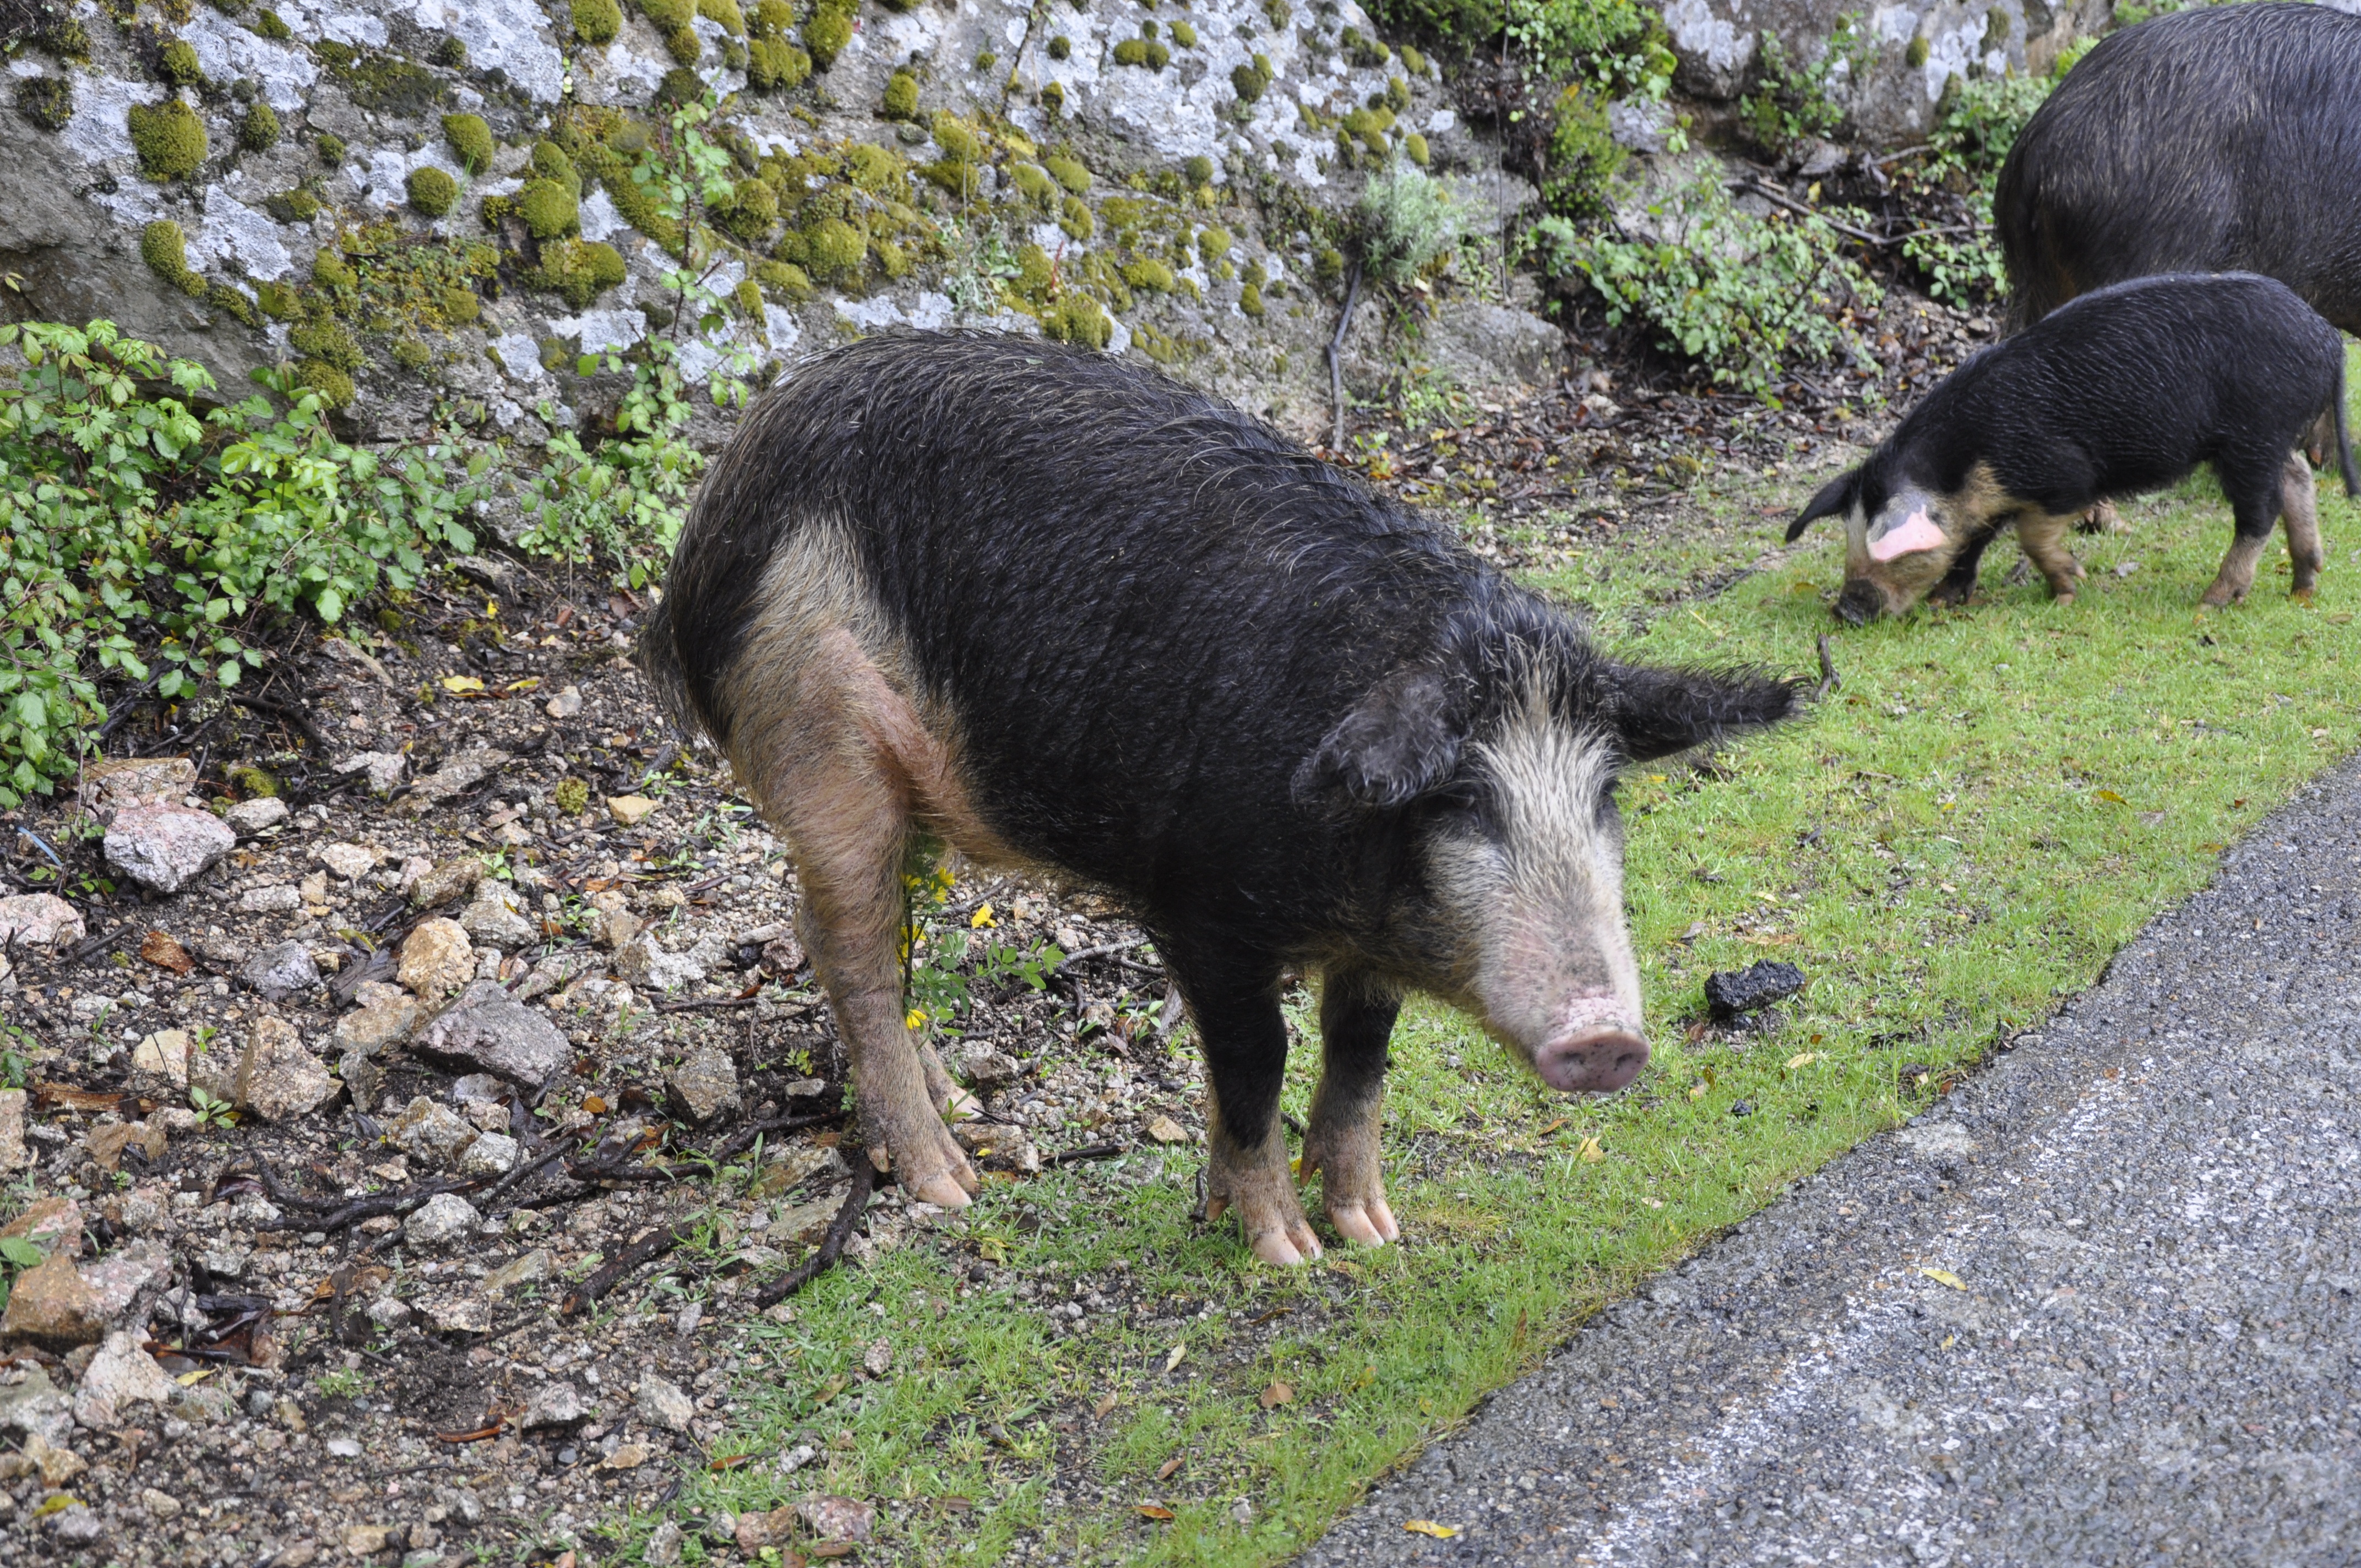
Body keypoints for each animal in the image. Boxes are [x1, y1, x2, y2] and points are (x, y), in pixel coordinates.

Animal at [637, 330, 1794, 1265]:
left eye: (1603, 790)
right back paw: (950, 1183)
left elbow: (1360, 1055)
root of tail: (714, 511)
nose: (1604, 1036)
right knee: (852, 946)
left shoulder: (1364, 951)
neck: (1344, 886)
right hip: (815, 736)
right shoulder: (1195, 902)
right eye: (1461, 796)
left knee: (866, 934)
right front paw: (1283, 1248)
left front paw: (1373, 1232)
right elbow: (1257, 1056)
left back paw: (959, 1104)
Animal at [1794, 273, 2351, 623]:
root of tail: (2328, 338)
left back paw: (2213, 601)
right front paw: (1943, 602)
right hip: (2270, 436)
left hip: (2253, 434)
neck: (1969, 459)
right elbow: (1972, 541)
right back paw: (2304, 584)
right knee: (2297, 476)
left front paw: (2067, 591)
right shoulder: (1990, 498)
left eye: (1890, 552)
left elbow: (2032, 537)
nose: (1845, 610)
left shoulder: (2066, 477)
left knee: (2260, 510)